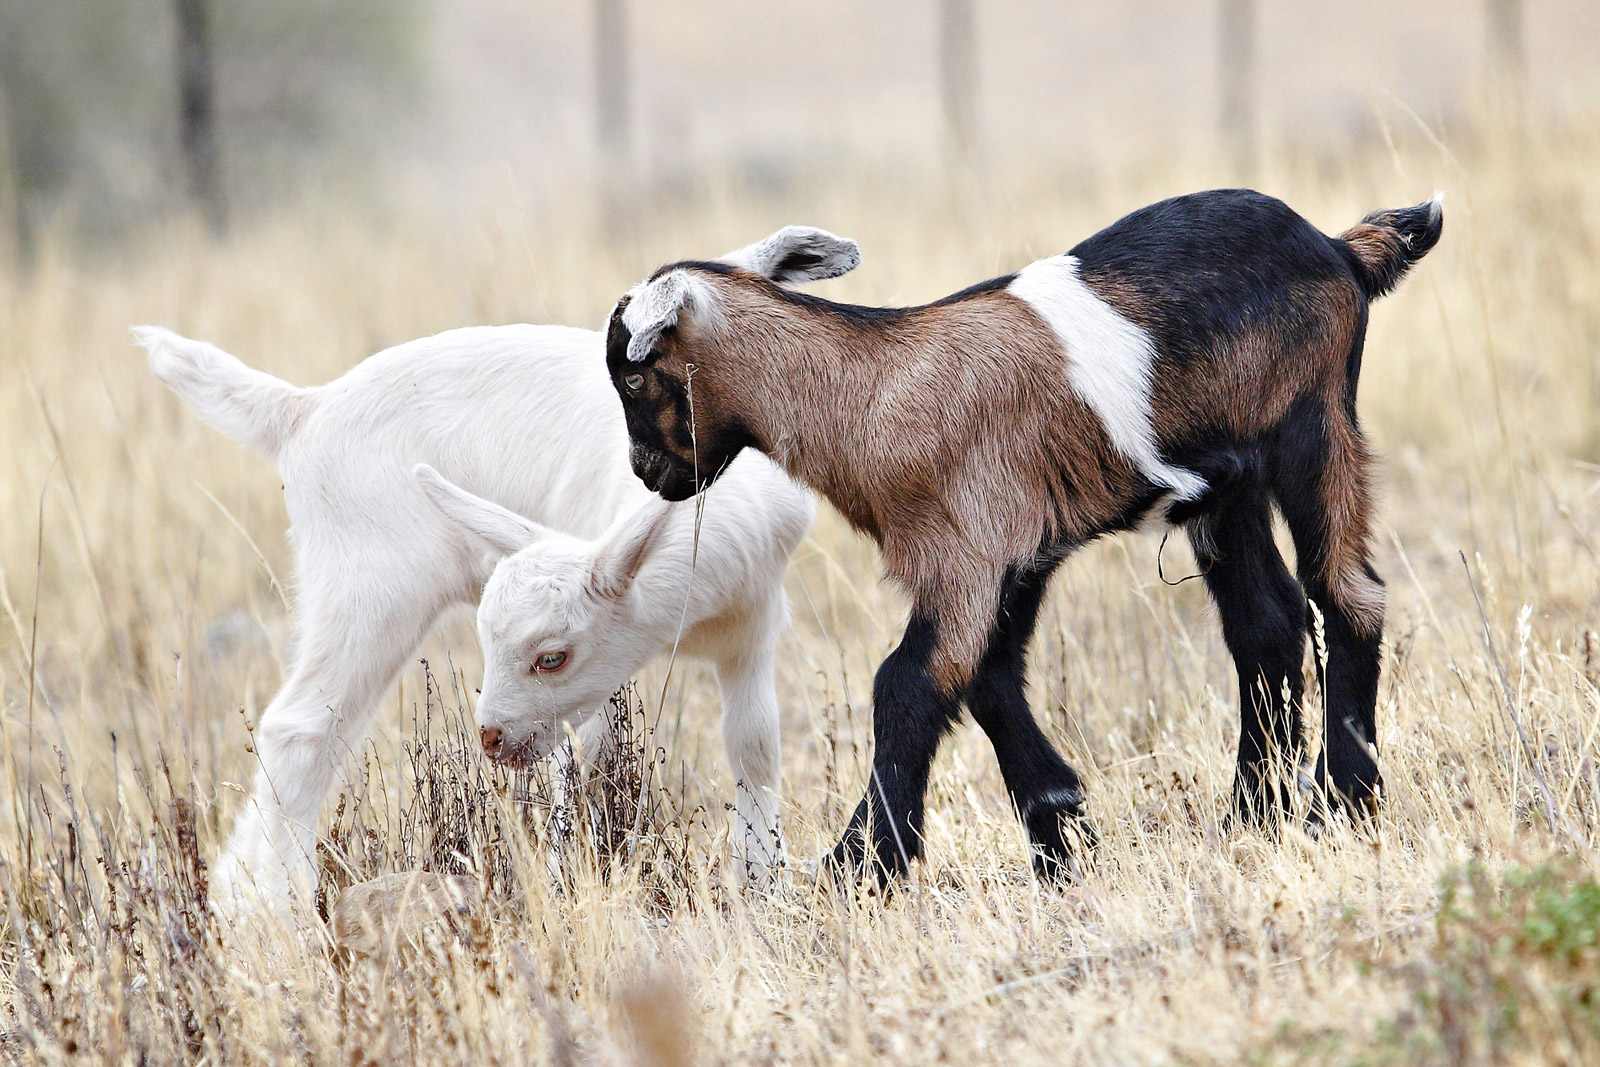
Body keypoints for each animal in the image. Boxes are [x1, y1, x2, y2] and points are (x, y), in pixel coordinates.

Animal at [132, 225, 844, 911]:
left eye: (549, 657)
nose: (491, 739)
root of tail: (301, 410)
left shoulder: (749, 627)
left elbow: (754, 747)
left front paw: (764, 880)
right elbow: (585, 762)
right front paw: (571, 878)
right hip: (367, 587)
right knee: (300, 729)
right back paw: (276, 911)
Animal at [604, 189, 1443, 882]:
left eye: (635, 375)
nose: (648, 472)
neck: (869, 390)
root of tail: (1339, 248)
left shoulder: (966, 549)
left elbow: (907, 684)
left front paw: (860, 867)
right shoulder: (1018, 555)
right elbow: (989, 679)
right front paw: (1059, 830)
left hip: (1312, 424)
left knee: (1347, 595)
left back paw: (1343, 802)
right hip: (1227, 487)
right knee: (1266, 623)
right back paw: (1252, 813)